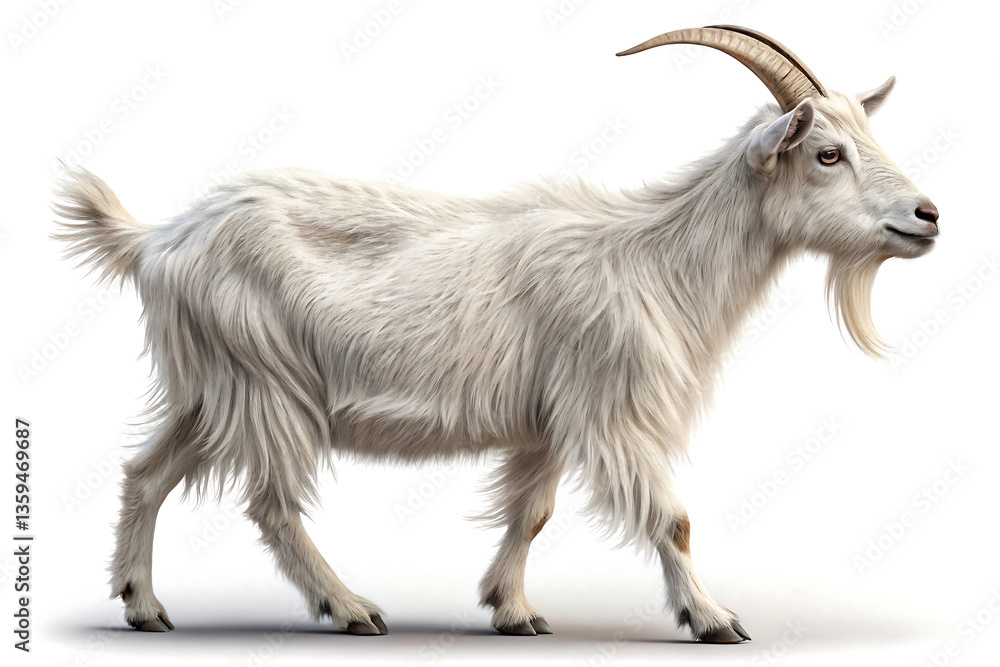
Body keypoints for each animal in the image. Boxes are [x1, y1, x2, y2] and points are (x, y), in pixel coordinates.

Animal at [54, 25, 938, 642]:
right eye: (827, 153)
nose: (928, 214)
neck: (656, 259)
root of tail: (159, 239)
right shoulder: (609, 409)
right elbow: (673, 516)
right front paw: (715, 617)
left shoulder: (548, 420)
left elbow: (532, 513)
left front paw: (511, 609)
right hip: (267, 379)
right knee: (269, 501)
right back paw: (349, 607)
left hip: (210, 383)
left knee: (144, 472)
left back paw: (143, 604)